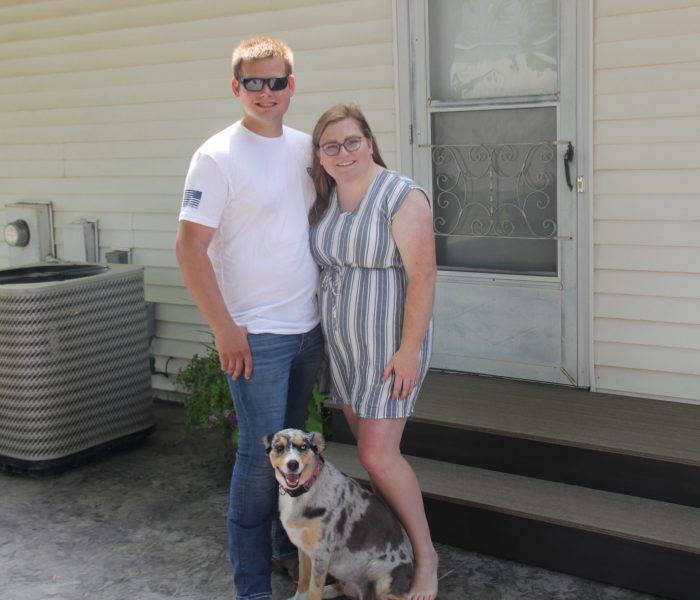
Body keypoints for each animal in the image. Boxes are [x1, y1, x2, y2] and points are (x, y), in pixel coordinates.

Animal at [266, 428, 412, 596]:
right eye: (279, 447)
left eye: (303, 447)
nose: (292, 464)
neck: (306, 490)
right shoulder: (303, 549)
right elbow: (303, 584)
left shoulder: (321, 554)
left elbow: (313, 593)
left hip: (384, 578)